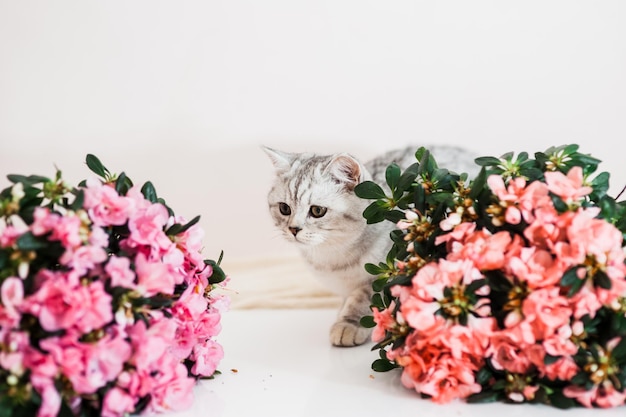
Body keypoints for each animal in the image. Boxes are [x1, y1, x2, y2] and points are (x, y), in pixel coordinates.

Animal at [260, 145, 476, 346]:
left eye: (317, 211)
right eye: (284, 208)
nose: (293, 229)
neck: (333, 256)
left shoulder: (391, 270)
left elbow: (364, 298)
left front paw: (348, 323)